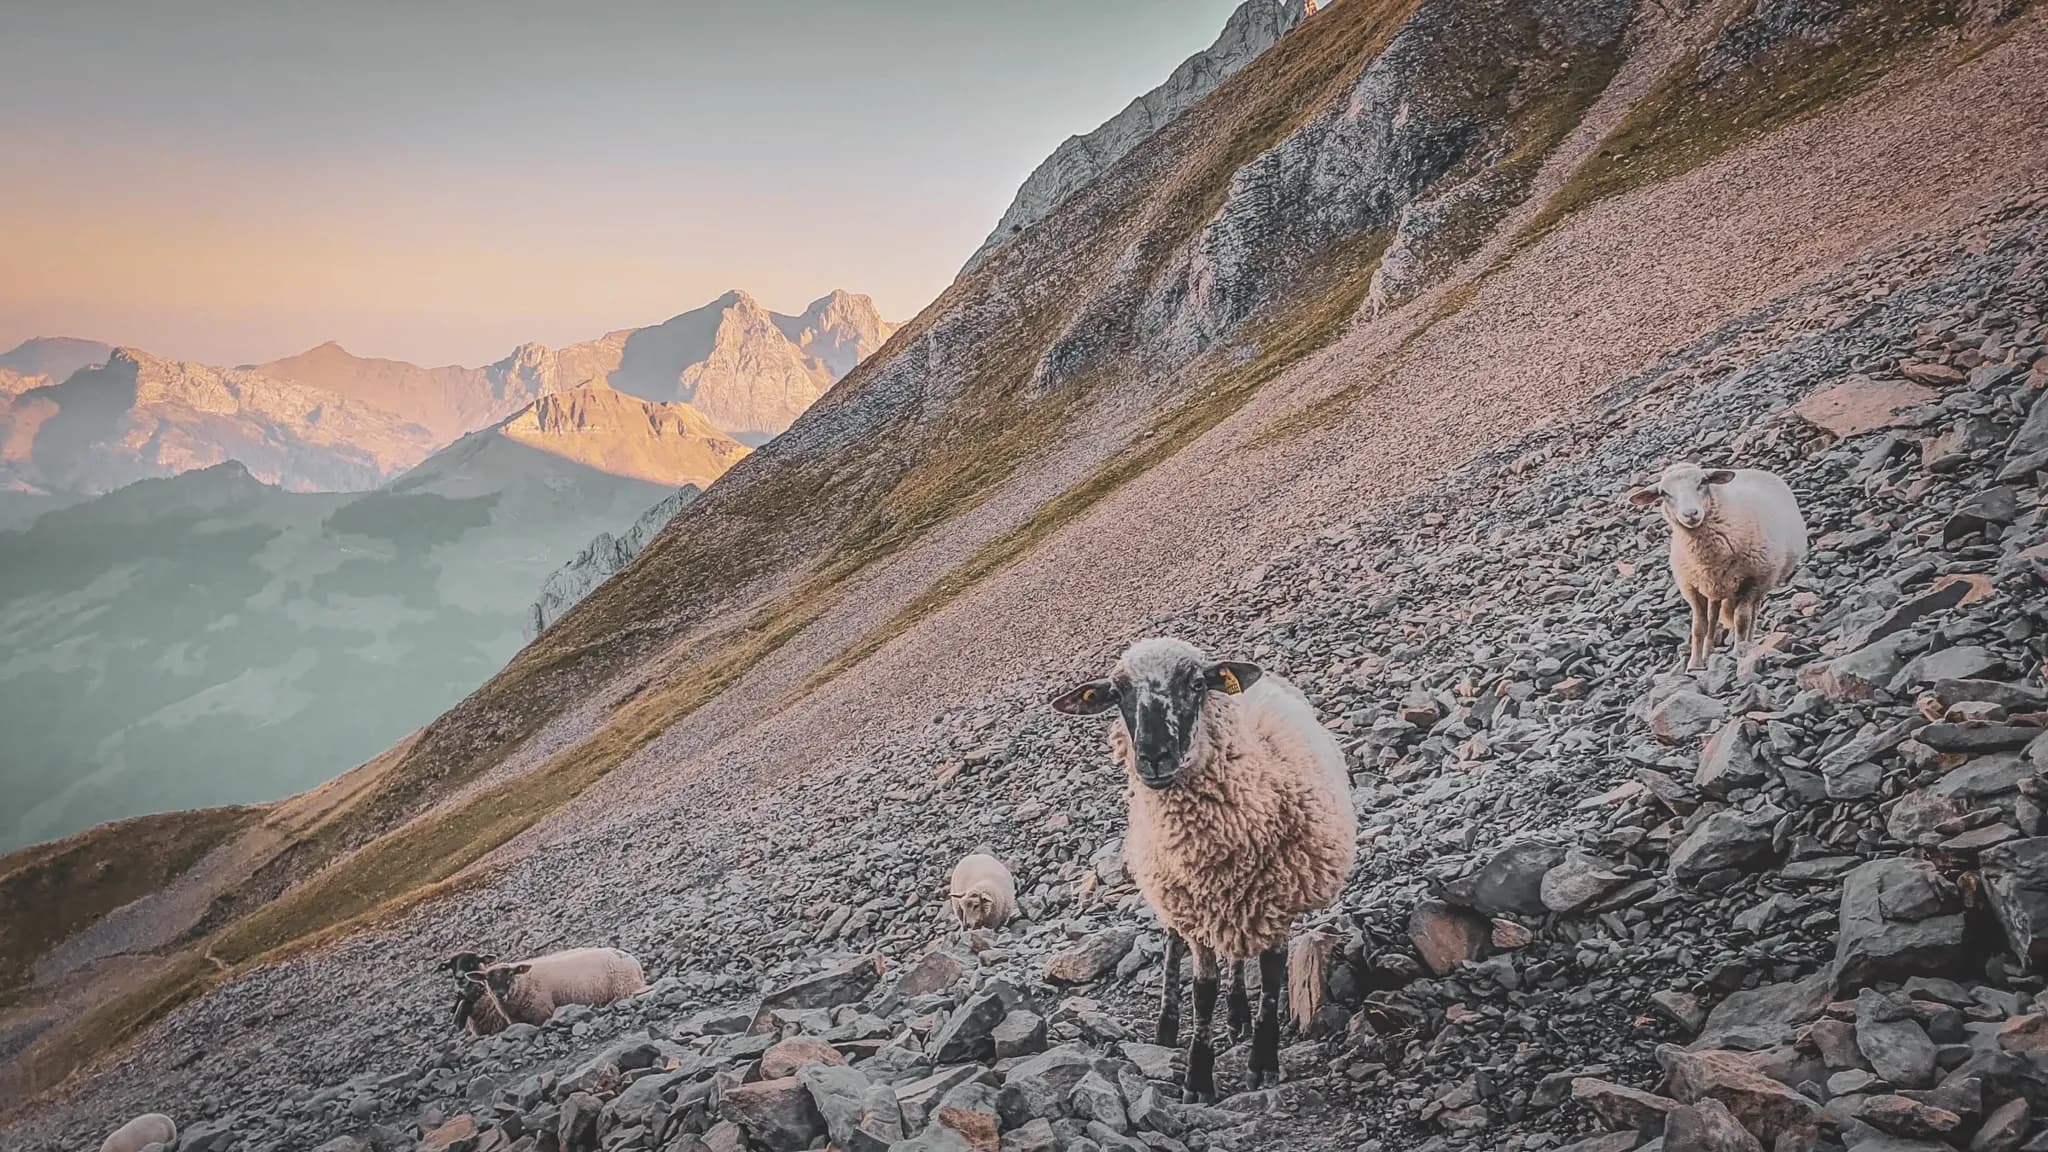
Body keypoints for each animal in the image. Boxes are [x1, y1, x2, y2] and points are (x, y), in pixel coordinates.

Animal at [476, 946, 649, 1027]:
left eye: (510, 974)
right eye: (487, 979)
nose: (499, 994)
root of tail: (635, 963)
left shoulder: (542, 1011)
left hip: (625, 986)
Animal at [1052, 637, 1356, 1100]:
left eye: (1197, 684)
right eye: (1117, 694)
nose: (1154, 757)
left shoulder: (1277, 901)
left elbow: (1271, 980)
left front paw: (1262, 1062)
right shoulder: (1194, 909)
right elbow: (1202, 992)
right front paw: (1197, 1078)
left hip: (1243, 906)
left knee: (1239, 957)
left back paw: (1238, 1015)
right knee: (1172, 944)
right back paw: (1167, 1026)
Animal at [1628, 462, 1808, 670]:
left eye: (1703, 482)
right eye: (1663, 493)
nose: (1690, 514)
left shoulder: (1753, 580)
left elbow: (1741, 618)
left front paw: (1738, 651)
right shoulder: (1692, 588)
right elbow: (1699, 627)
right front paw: (1694, 663)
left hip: (1764, 580)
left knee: (1752, 612)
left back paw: (1748, 642)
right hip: (1715, 586)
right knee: (1713, 617)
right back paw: (1708, 653)